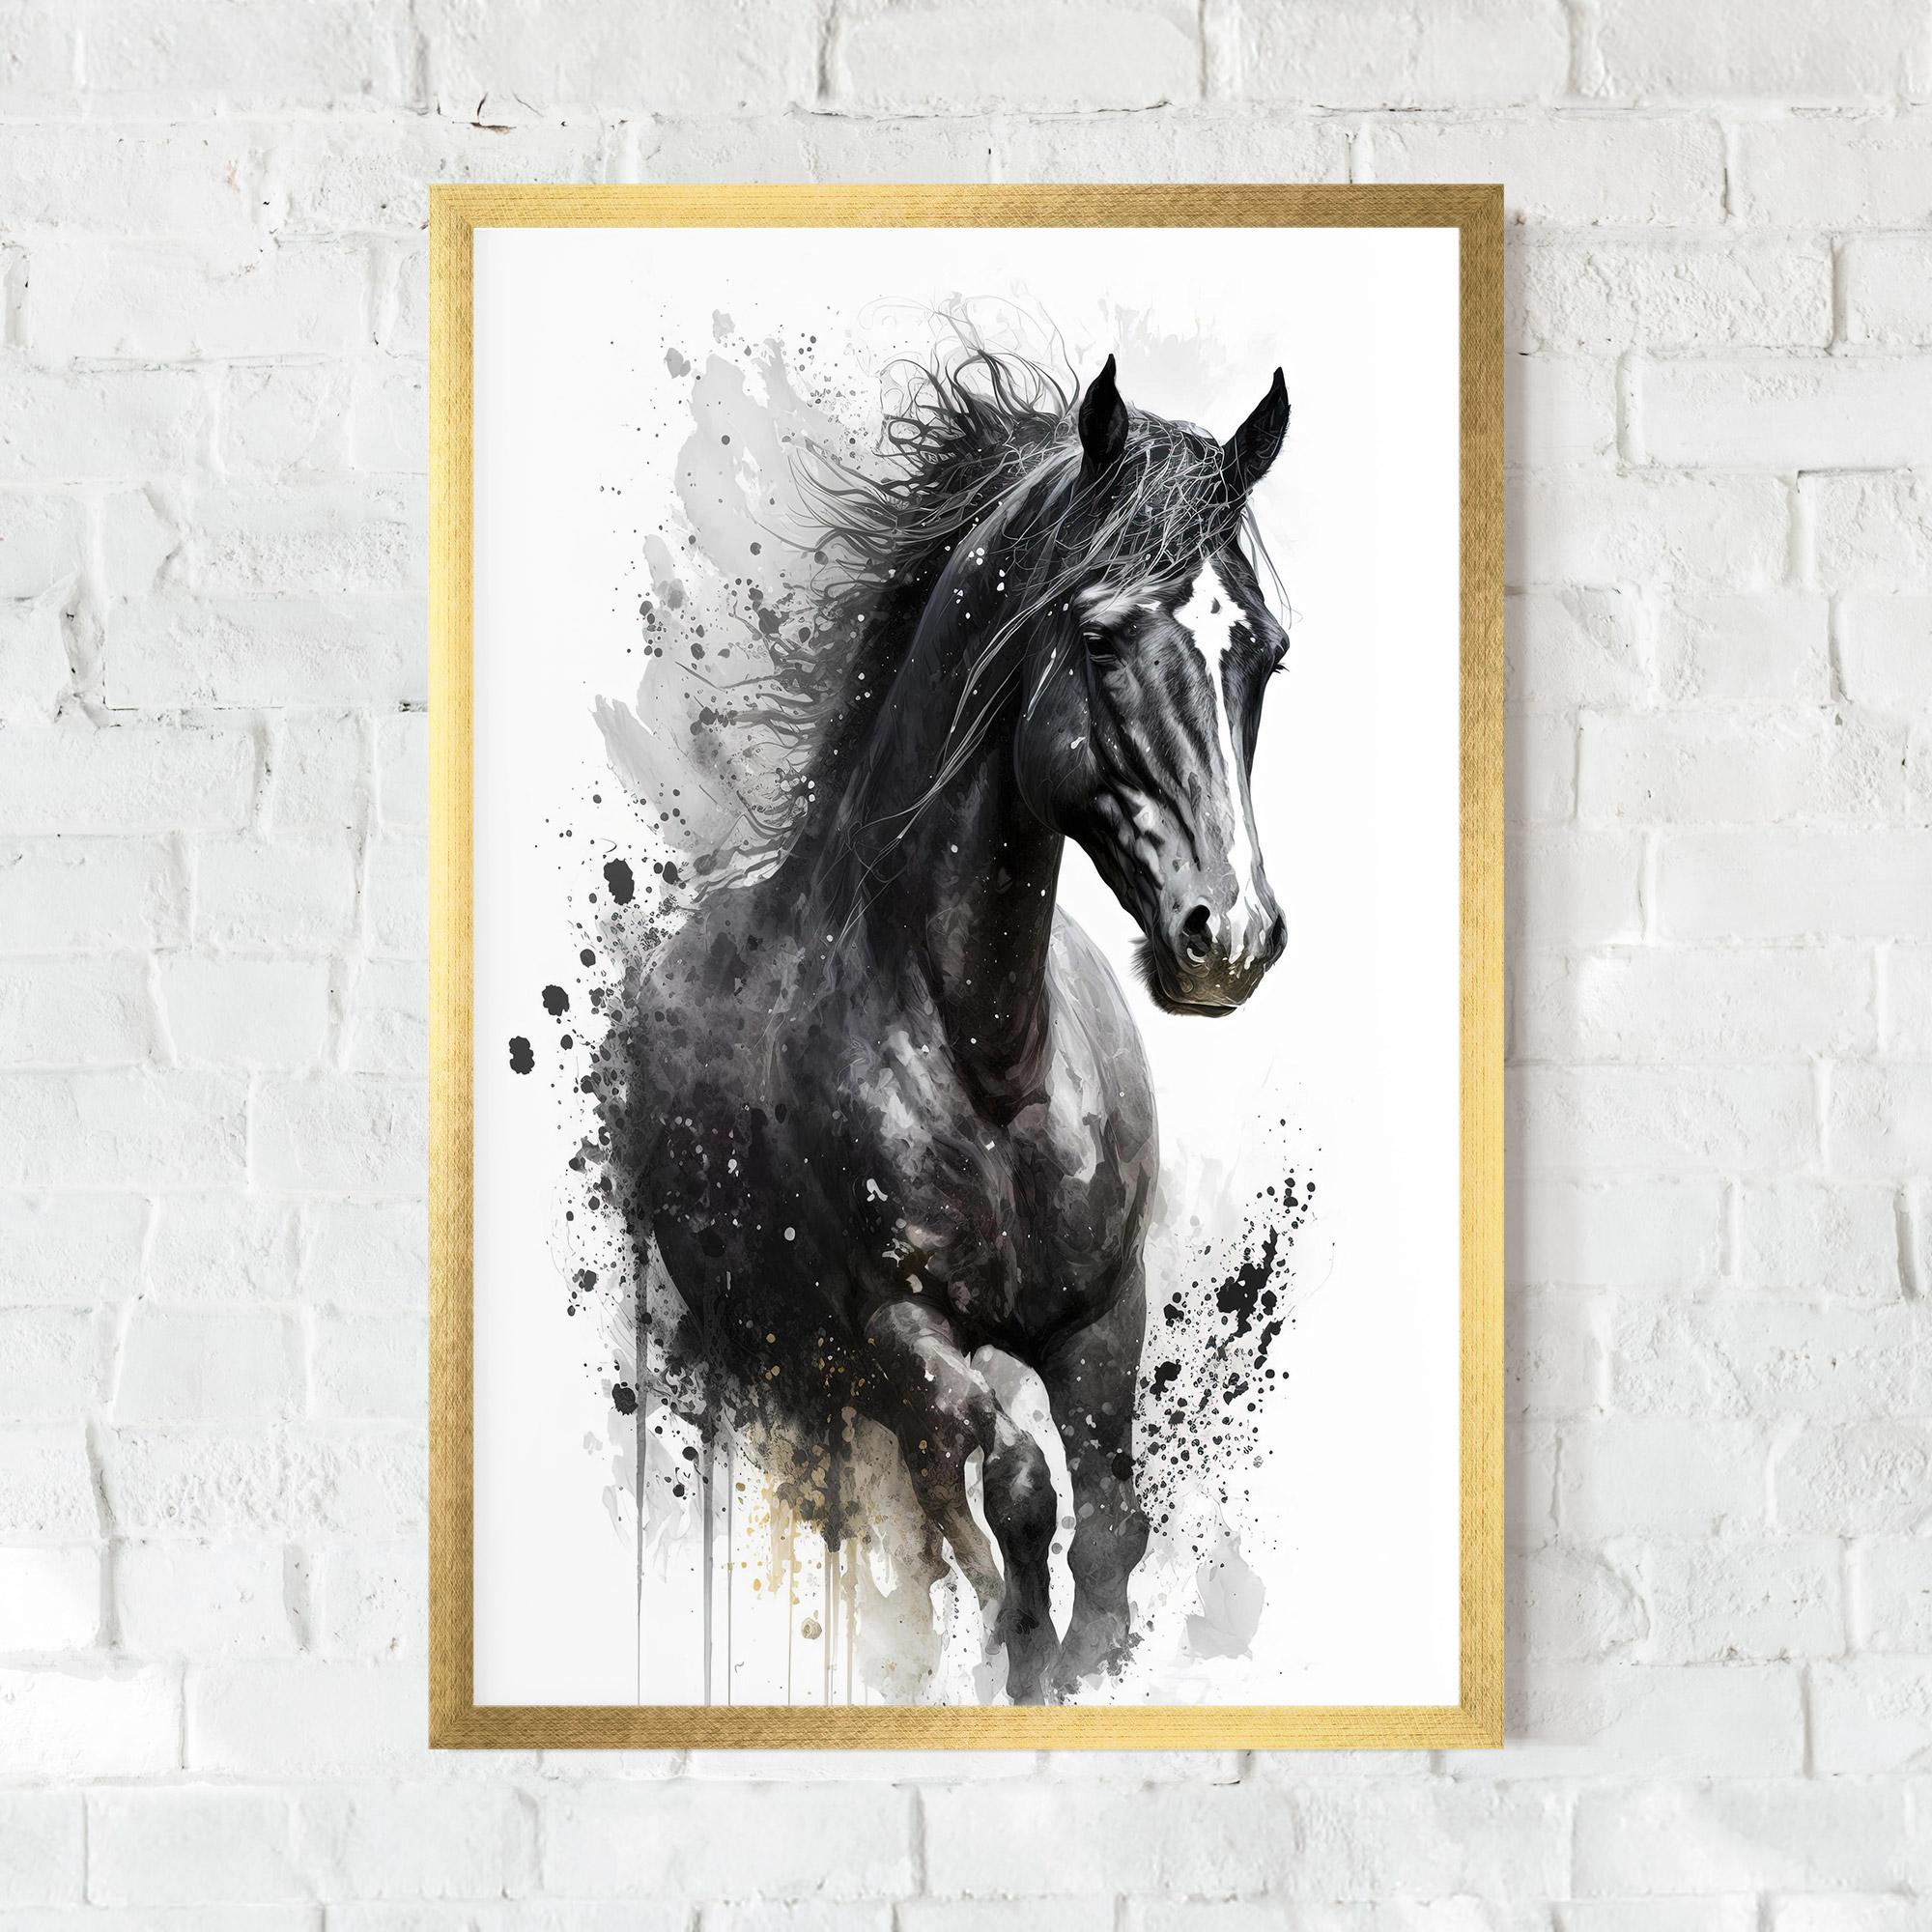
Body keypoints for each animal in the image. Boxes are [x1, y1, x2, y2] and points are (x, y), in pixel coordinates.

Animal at [609, 347, 1293, 1704]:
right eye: (1097, 635)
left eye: (1267, 653)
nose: (1228, 935)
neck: (989, 1057)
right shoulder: (896, 1326)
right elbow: (1023, 1489)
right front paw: (1022, 1660)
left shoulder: (1102, 1318)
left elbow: (1112, 1527)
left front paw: (1083, 1660)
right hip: (778, 1358)